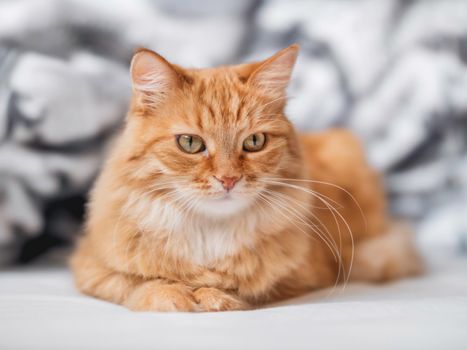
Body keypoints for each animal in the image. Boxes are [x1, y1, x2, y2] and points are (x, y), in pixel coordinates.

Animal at [70, 44, 424, 312]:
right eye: (190, 143)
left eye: (254, 142)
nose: (228, 179)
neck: (209, 233)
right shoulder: (90, 265)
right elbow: (140, 284)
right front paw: (175, 296)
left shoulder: (303, 276)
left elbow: (238, 289)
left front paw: (212, 296)